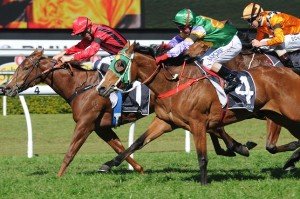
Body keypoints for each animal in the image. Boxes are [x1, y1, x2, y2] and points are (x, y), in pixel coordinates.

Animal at [3, 49, 250, 176]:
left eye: (26, 67)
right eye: (18, 66)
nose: (5, 87)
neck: (81, 86)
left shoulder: (85, 124)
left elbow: (71, 151)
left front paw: (59, 176)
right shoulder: (101, 127)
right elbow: (121, 147)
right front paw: (137, 169)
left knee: (215, 127)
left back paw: (237, 147)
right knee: (215, 127)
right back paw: (236, 146)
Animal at [97, 42, 300, 186]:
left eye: (120, 65)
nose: (101, 88)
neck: (174, 84)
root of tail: (291, 72)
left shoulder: (198, 123)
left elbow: (202, 156)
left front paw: (204, 184)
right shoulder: (165, 121)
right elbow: (137, 143)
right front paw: (108, 164)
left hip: (291, 114)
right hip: (282, 117)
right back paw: (292, 157)